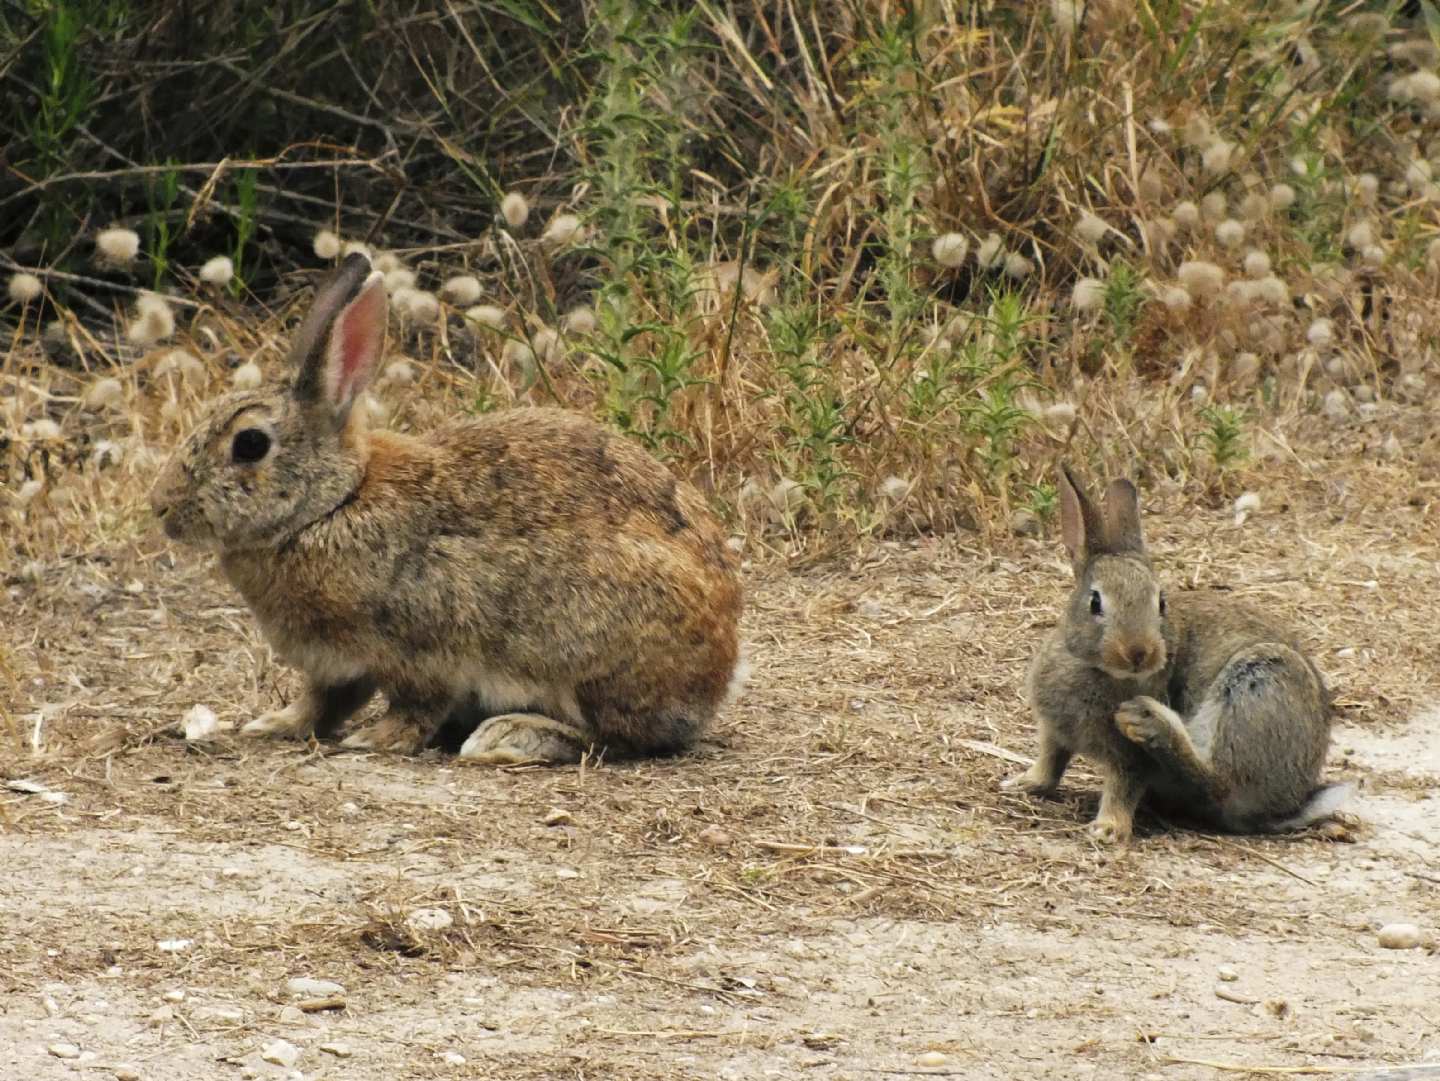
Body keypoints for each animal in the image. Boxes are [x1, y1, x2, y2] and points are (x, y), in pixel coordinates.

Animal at [151, 253, 748, 760]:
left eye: (249, 444)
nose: (161, 508)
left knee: (612, 737)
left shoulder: (421, 648)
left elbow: (414, 705)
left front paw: (376, 740)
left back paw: (507, 737)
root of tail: (717, 672)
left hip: (588, 648)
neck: (333, 504)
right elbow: (321, 703)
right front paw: (274, 725)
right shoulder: (336, 667)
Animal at [1002, 466, 1347, 846]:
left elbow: (1122, 787)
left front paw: (1108, 829)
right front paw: (1021, 784)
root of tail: (1290, 802)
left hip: (1262, 681)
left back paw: (1150, 720)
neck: (1094, 668)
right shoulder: (1054, 731)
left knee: (1217, 784)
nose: (1139, 652)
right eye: (1095, 602)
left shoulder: (1131, 758)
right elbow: (1051, 763)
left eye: (1161, 603)